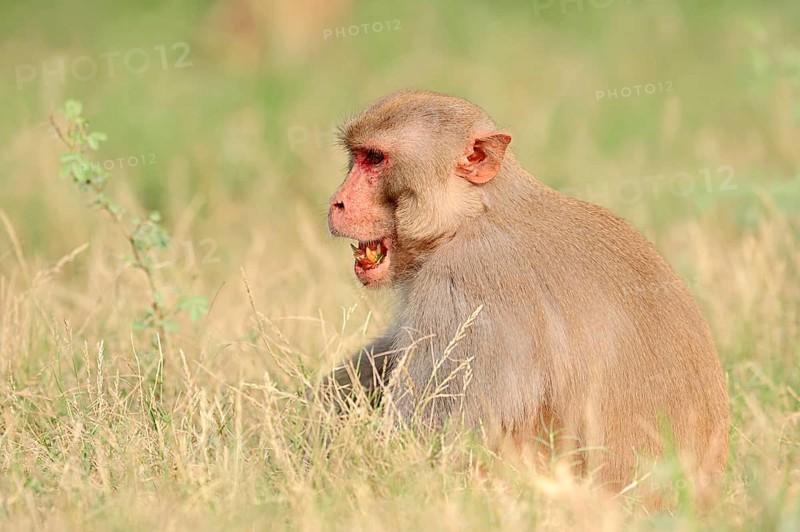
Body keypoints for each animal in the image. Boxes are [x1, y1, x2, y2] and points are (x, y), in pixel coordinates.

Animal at [324, 89, 729, 503]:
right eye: (357, 156)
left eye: (375, 158)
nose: (337, 201)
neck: (476, 213)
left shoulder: (467, 280)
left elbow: (421, 449)